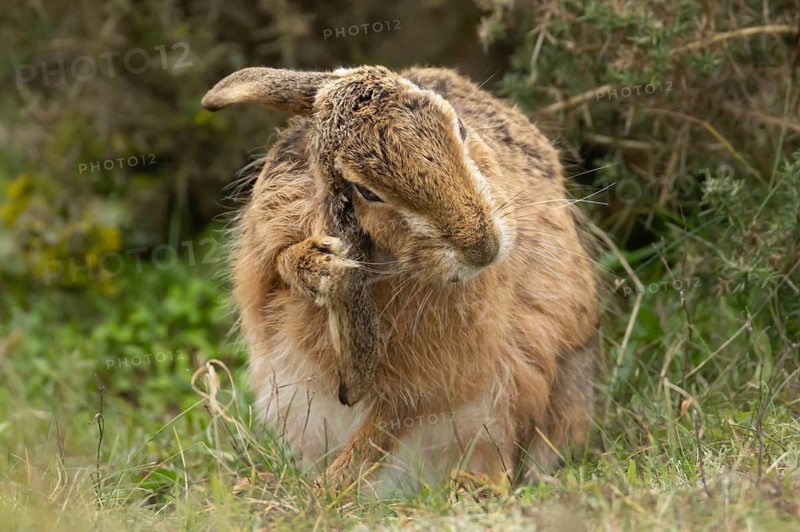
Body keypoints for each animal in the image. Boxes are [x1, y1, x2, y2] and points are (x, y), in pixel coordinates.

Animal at [202, 65, 599, 491]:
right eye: (365, 191)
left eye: (460, 128)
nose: (483, 247)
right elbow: (278, 262)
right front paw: (323, 267)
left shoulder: (433, 383)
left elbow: (391, 421)